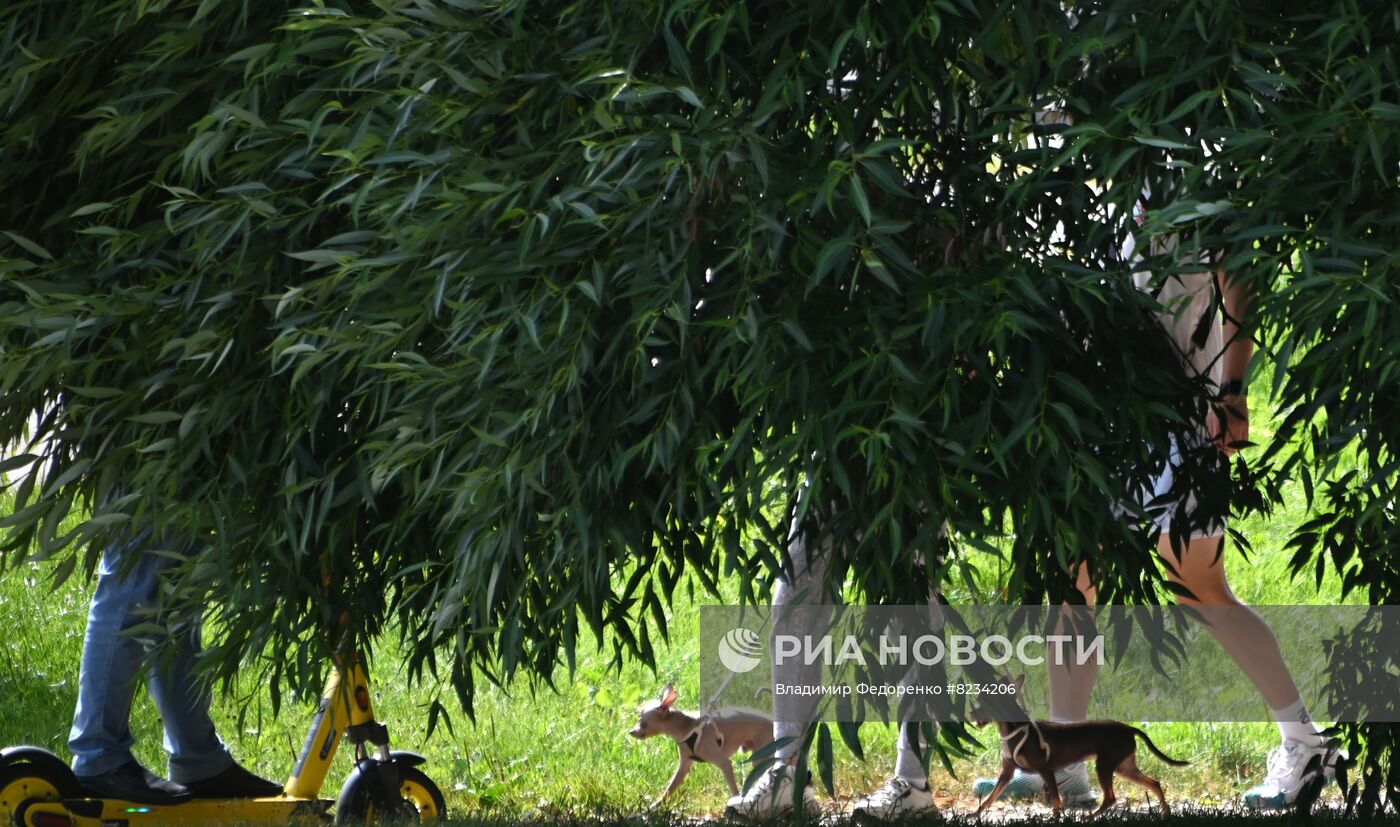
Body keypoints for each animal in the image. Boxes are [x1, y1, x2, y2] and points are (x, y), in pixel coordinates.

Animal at [632, 685, 778, 811]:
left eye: (642, 722)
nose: (631, 731)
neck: (688, 728)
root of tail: (772, 720)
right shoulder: (684, 767)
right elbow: (670, 788)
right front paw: (656, 806)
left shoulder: (724, 763)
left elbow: (733, 789)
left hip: (760, 758)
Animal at [974, 677, 1192, 817]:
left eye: (981, 703)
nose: (970, 714)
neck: (1016, 730)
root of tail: (1129, 728)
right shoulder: (1007, 773)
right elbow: (990, 797)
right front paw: (976, 814)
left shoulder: (1046, 770)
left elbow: (1056, 802)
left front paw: (1056, 818)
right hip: (1125, 768)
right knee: (1154, 783)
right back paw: (1165, 811)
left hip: (1105, 766)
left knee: (1110, 798)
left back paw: (1090, 817)